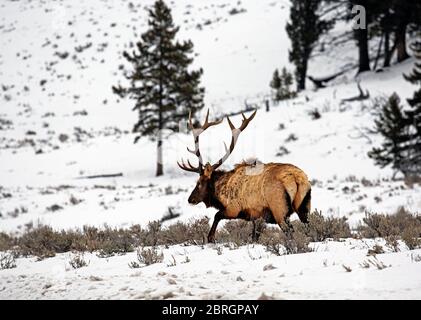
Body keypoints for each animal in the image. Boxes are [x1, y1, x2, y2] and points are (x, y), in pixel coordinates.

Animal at [176, 109, 310, 241]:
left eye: (198, 183)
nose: (190, 199)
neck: (220, 193)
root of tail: (296, 177)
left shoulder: (234, 209)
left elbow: (216, 216)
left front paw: (211, 238)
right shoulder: (257, 216)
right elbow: (255, 236)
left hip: (279, 208)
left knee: (290, 232)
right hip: (304, 205)